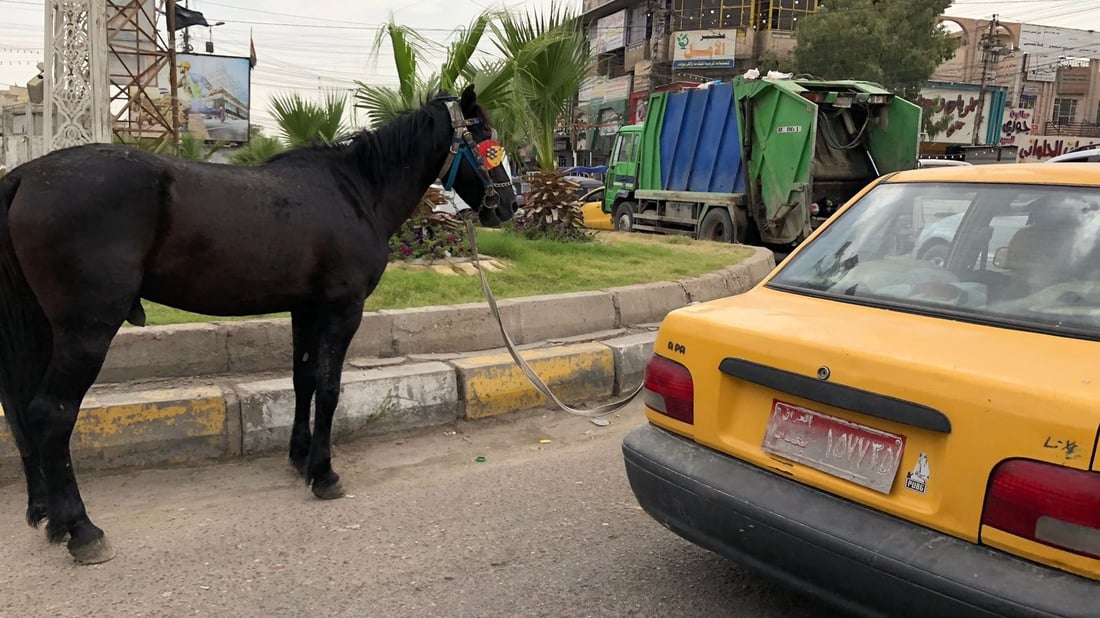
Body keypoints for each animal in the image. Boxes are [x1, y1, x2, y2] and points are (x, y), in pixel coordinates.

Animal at [0, 85, 512, 563]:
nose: (508, 205)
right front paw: (324, 473)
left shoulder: (307, 309)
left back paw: (48, 515)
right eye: (485, 135)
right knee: (52, 413)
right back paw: (82, 529)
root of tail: (25, 175)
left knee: (24, 408)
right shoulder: (342, 309)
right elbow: (329, 389)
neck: (355, 190)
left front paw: (301, 458)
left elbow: (304, 380)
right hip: (86, 331)